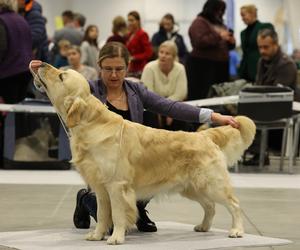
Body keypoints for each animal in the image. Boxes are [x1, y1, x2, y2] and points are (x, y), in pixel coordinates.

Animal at [34, 62, 256, 244]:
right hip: (193, 187)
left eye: (61, 76)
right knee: (210, 206)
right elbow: (103, 214)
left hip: (211, 184)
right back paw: (203, 226)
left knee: (234, 204)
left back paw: (237, 230)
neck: (91, 125)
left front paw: (116, 238)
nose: (40, 64)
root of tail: (204, 135)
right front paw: (97, 235)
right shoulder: (101, 187)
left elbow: (117, 214)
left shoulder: (116, 185)